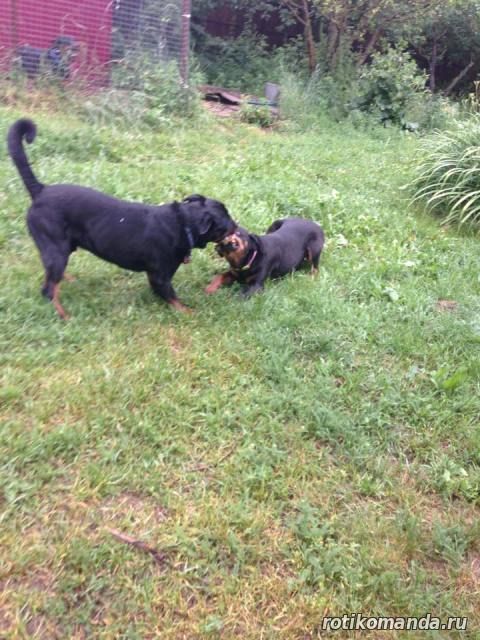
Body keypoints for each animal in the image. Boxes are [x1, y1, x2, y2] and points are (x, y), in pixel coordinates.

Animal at [7, 118, 237, 318]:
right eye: (226, 224)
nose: (237, 226)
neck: (183, 224)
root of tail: (40, 191)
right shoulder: (159, 275)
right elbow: (172, 296)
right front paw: (188, 312)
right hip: (56, 249)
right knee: (48, 290)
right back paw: (64, 315)